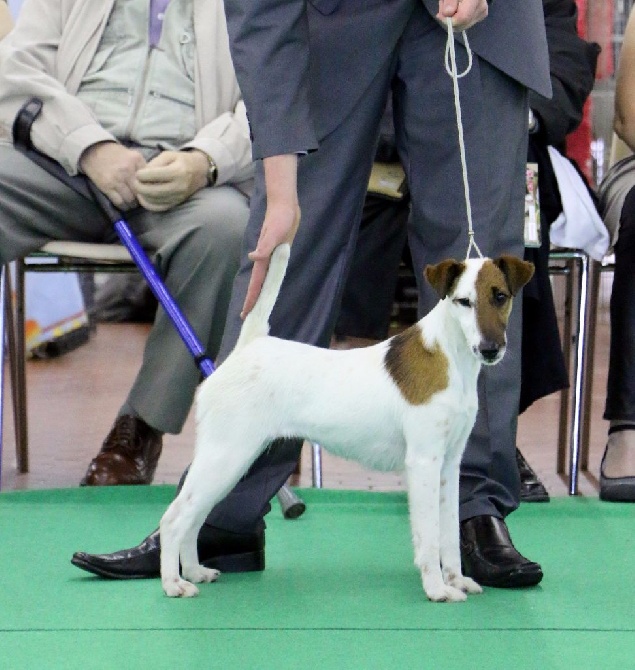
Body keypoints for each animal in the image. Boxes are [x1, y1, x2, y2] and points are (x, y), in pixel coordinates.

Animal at [159, 245, 532, 604]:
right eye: (463, 302)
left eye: (500, 296)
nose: (490, 349)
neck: (450, 357)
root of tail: (249, 346)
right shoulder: (424, 462)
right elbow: (428, 537)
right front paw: (437, 589)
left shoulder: (449, 465)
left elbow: (449, 535)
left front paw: (457, 580)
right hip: (227, 456)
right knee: (174, 518)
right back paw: (173, 583)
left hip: (231, 465)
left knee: (194, 518)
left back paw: (195, 572)